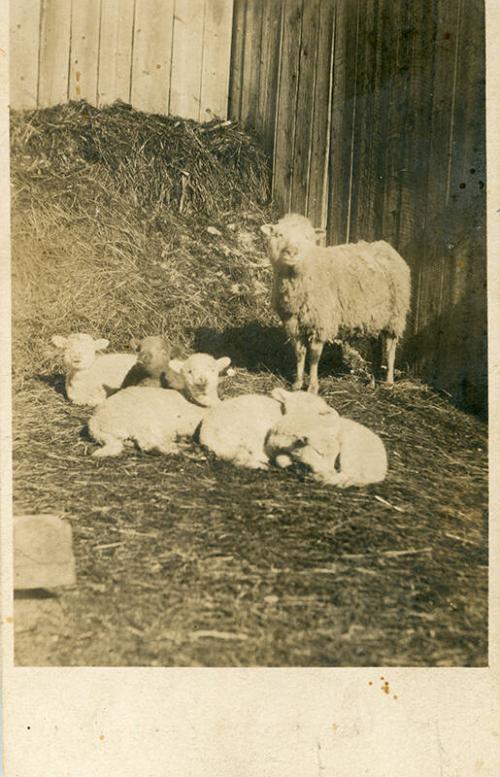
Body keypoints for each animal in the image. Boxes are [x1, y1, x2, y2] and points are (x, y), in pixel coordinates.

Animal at [260, 213, 411, 393]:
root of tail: (387, 247)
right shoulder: (293, 324)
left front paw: (312, 387)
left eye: (307, 237)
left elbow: (314, 357)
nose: (292, 252)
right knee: (376, 348)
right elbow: (299, 354)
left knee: (390, 348)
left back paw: (388, 382)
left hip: (394, 316)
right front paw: (297, 383)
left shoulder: (320, 323)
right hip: (374, 318)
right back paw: (372, 381)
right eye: (279, 235)